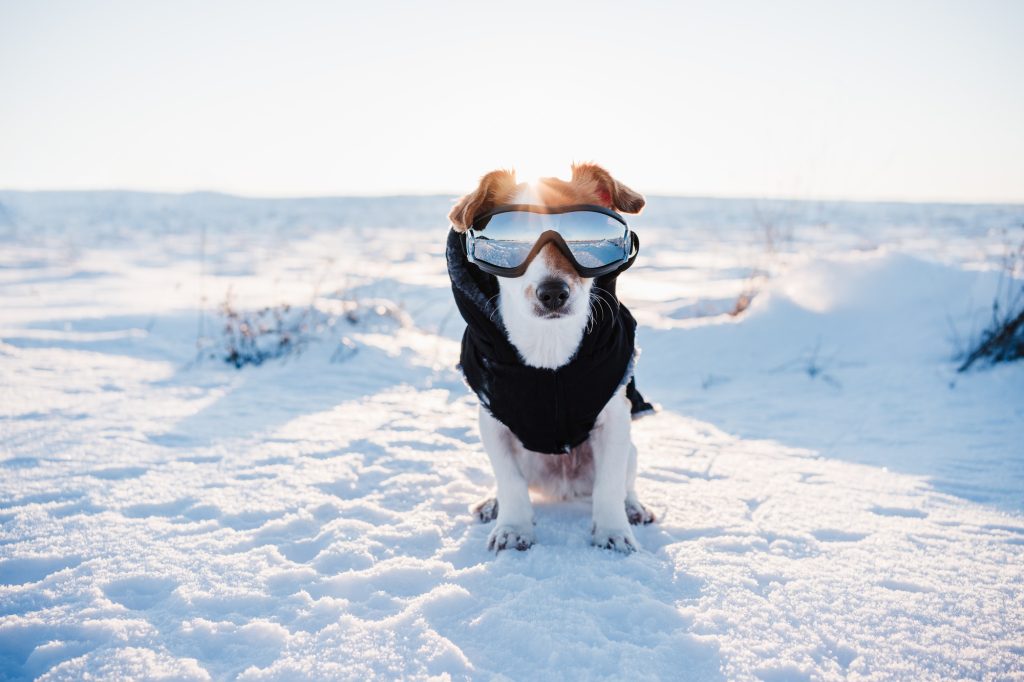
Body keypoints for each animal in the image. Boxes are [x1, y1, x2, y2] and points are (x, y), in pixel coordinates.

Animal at [448, 164, 655, 552]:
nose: (553, 293)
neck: (550, 355)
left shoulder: (615, 421)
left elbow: (609, 485)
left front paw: (613, 532)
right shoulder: (493, 423)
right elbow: (510, 482)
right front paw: (513, 528)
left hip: (632, 449)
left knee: (626, 482)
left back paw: (633, 508)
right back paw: (492, 504)